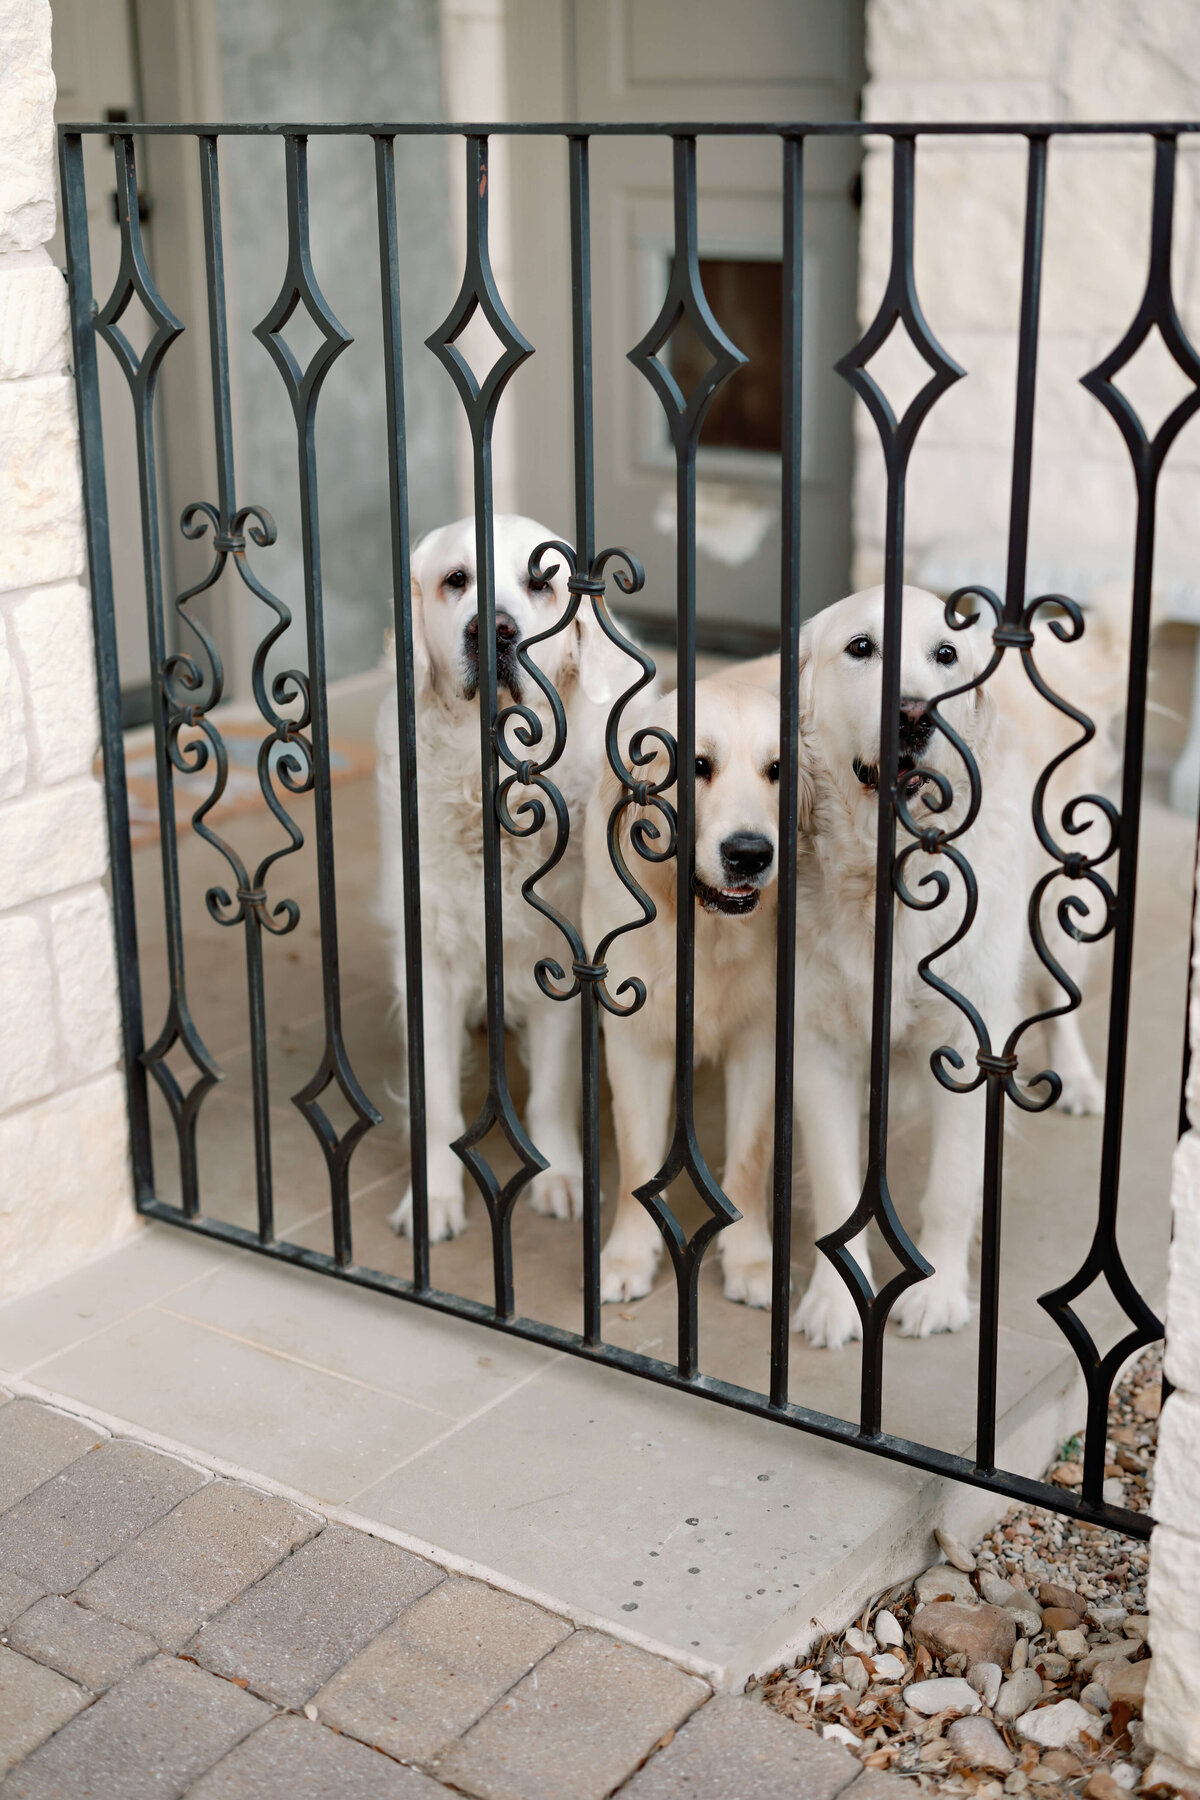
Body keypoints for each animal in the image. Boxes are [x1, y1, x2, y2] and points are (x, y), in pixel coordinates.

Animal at [377, 511, 629, 1238]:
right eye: (456, 579)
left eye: (542, 583)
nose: (494, 631)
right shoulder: (427, 959)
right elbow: (435, 1097)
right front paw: (433, 1198)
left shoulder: (561, 952)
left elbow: (552, 1087)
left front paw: (562, 1175)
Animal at [582, 669, 798, 1303]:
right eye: (698, 765)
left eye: (777, 769)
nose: (749, 855)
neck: (702, 928)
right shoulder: (635, 1041)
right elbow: (636, 1160)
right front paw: (628, 1256)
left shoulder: (762, 1038)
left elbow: (749, 1159)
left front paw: (752, 1261)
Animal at [788, 590, 1115, 1353]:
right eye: (861, 647)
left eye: (945, 655)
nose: (913, 714)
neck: (891, 876)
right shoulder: (817, 1049)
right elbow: (838, 1185)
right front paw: (835, 1302)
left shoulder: (972, 1048)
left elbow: (953, 1183)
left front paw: (935, 1293)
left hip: (1061, 909)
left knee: (1064, 1002)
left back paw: (1081, 1078)